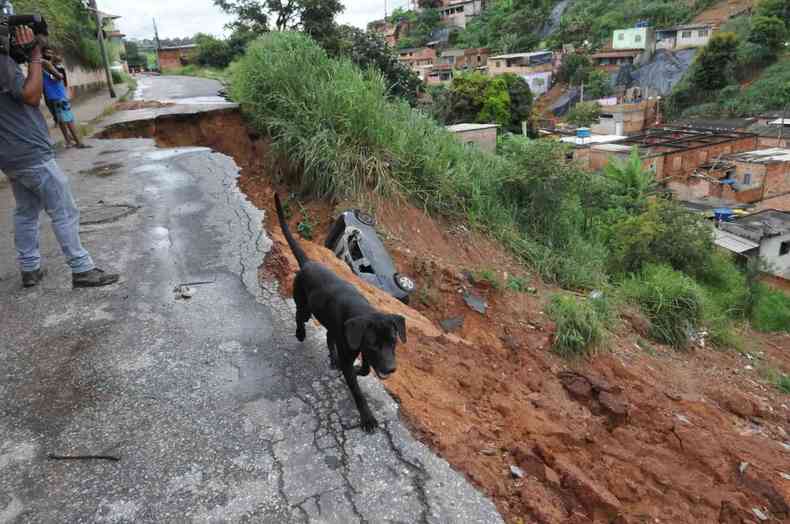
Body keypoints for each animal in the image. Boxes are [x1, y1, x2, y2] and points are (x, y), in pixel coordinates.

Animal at [276, 194, 408, 432]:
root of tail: (308, 263)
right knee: (300, 316)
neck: (363, 311)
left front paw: (356, 370)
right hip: (304, 305)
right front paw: (367, 418)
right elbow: (357, 391)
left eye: (393, 341)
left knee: (329, 336)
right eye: (375, 344)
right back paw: (301, 334)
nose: (391, 369)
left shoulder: (359, 348)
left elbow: (364, 369)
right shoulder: (356, 349)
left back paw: (332, 358)